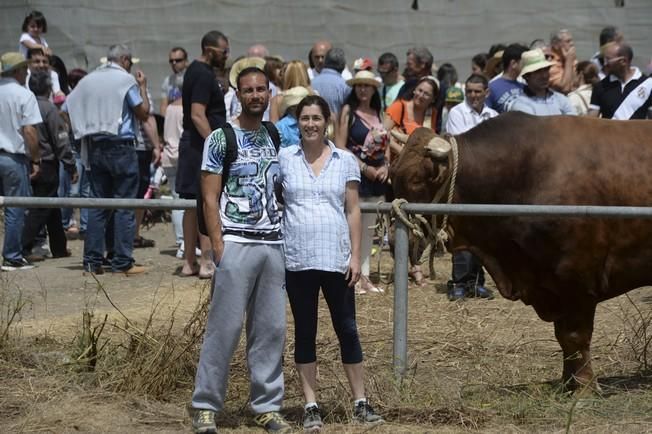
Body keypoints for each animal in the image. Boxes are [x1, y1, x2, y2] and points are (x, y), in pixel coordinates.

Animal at [388, 112, 652, 390]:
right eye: (393, 174)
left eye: (417, 179)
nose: (393, 241)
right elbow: (563, 337)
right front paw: (566, 382)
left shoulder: (577, 277)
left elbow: (574, 335)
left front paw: (583, 385)